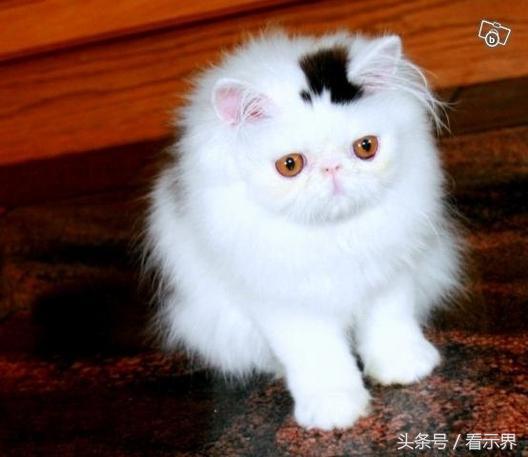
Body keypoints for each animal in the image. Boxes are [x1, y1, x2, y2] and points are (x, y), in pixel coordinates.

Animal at [143, 30, 463, 430]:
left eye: (366, 147)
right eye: (290, 165)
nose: (332, 169)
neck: (334, 234)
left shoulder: (389, 273)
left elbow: (390, 322)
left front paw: (405, 368)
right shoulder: (286, 303)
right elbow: (319, 355)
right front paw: (336, 410)